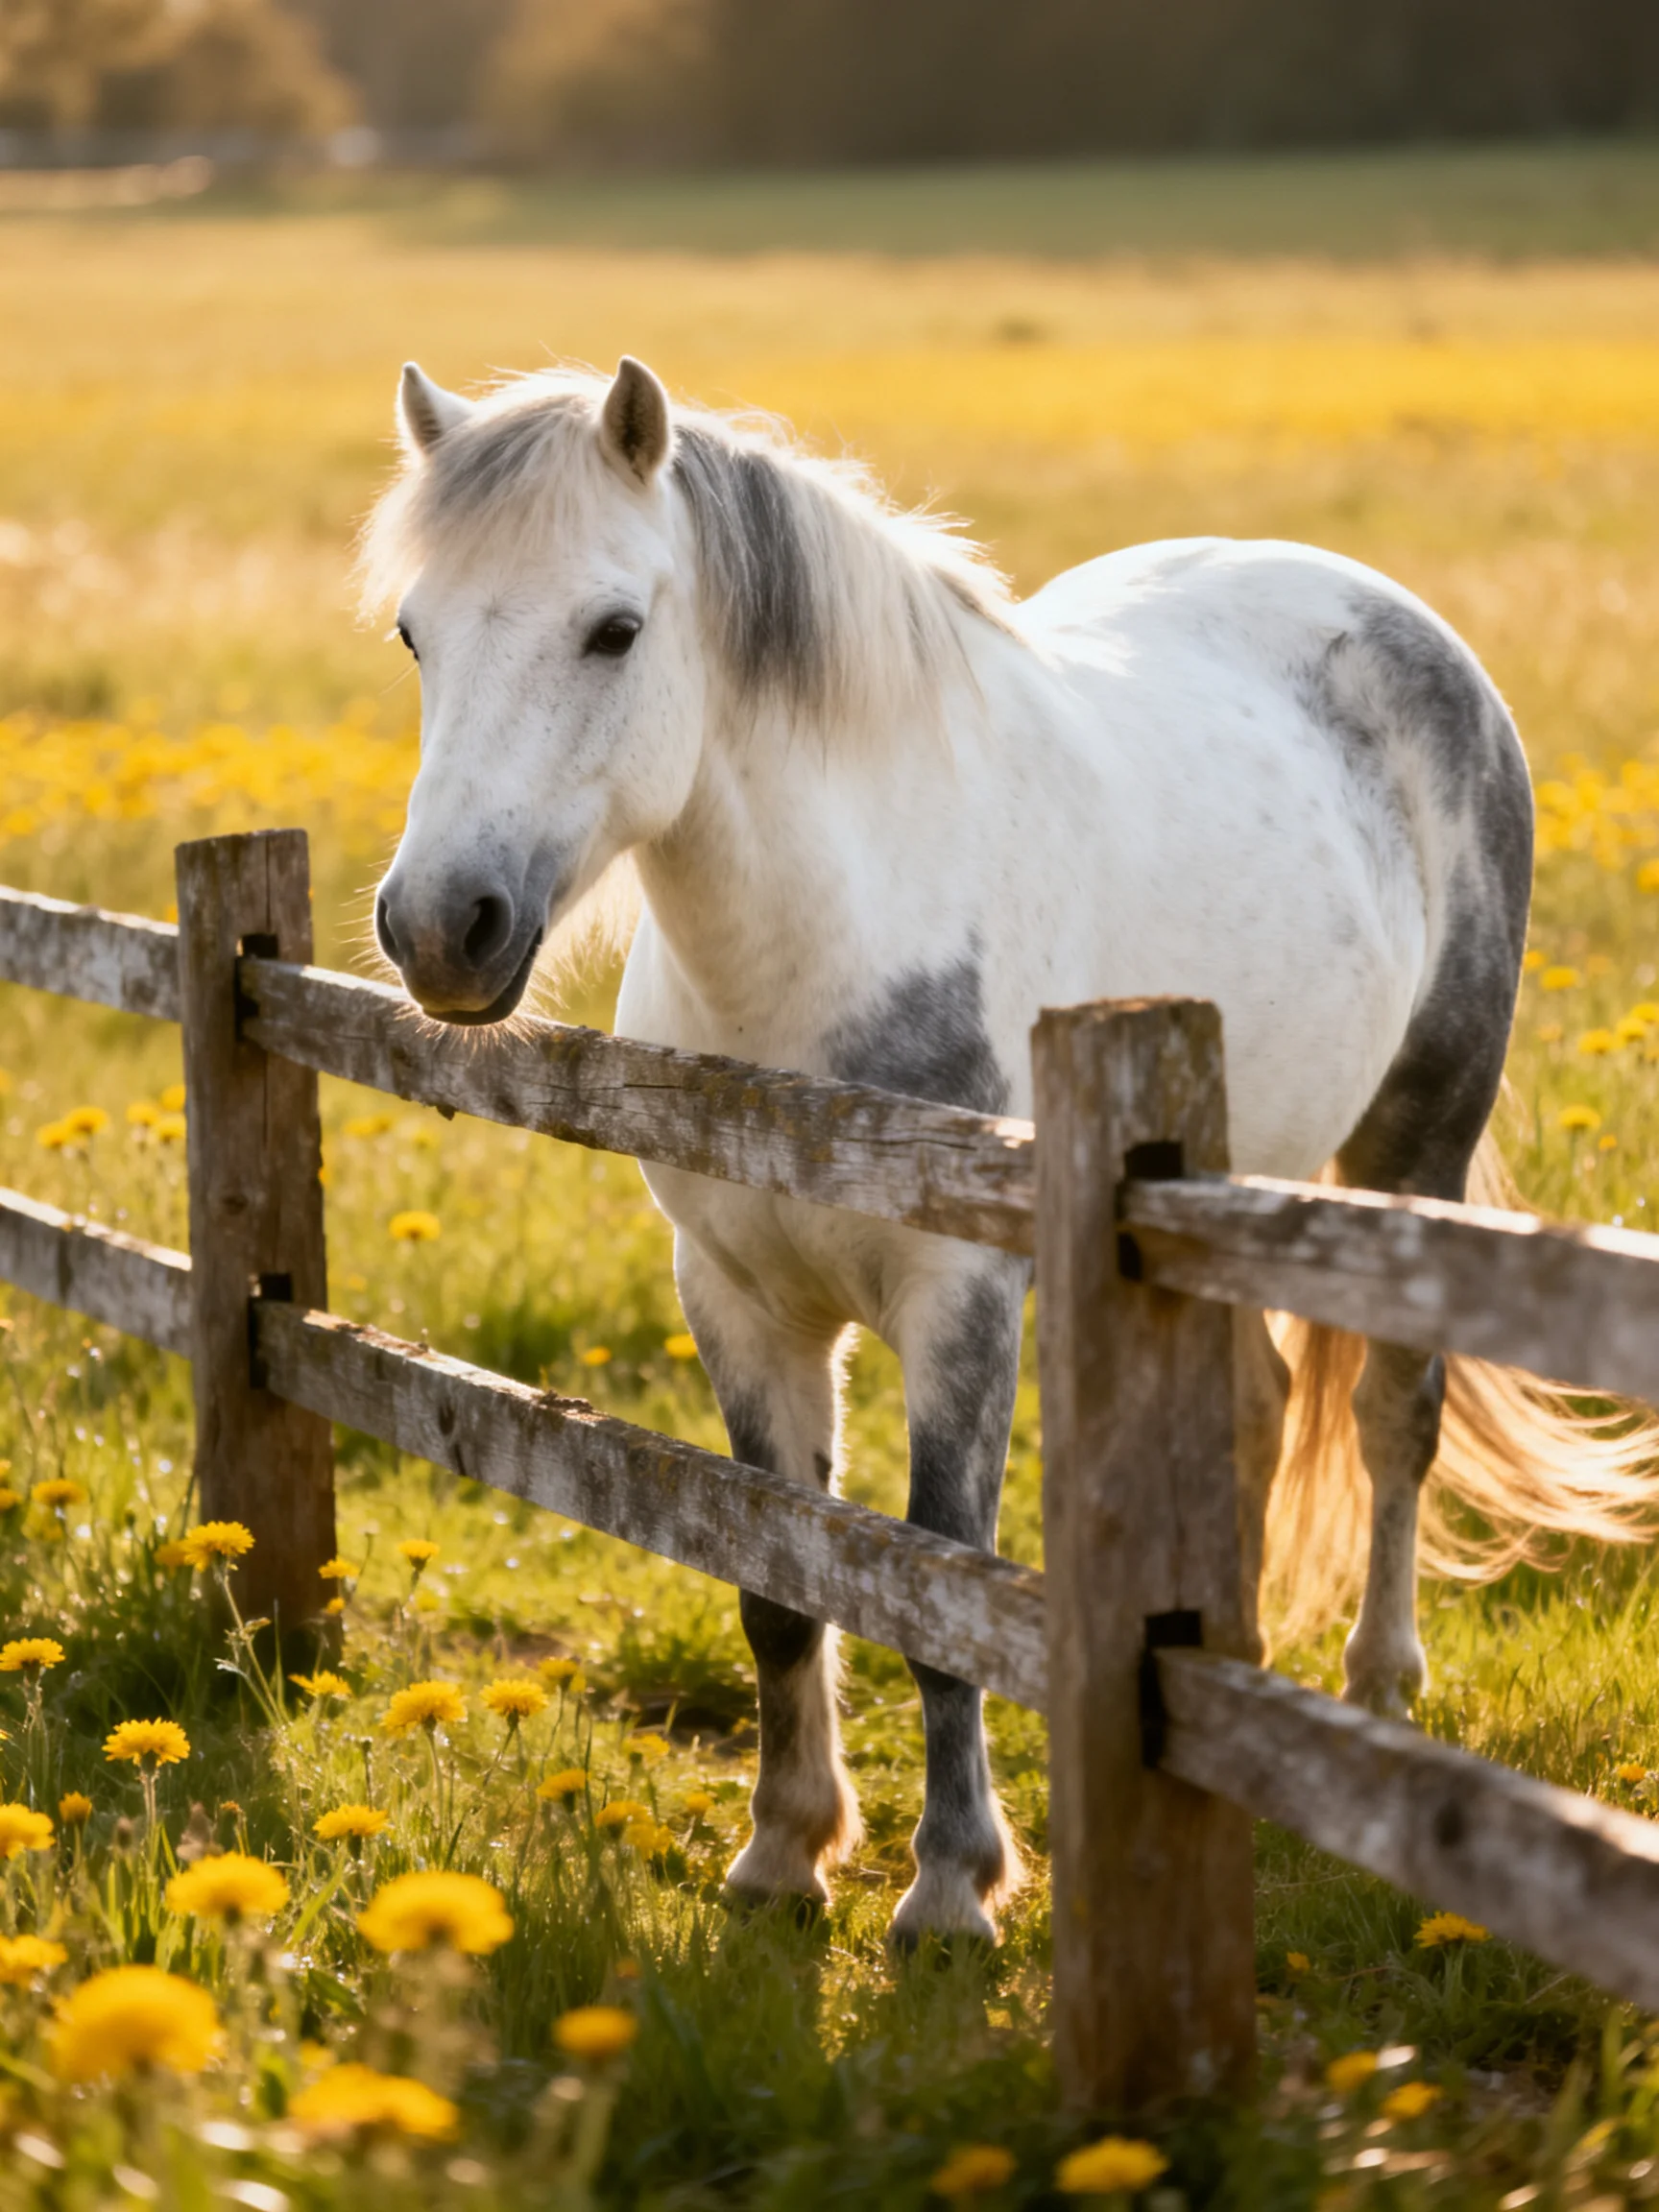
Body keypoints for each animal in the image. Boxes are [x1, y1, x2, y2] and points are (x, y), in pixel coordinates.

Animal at [362, 353, 1657, 1949]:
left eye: (614, 630)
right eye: (415, 632)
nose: (440, 928)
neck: (823, 956)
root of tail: (1396, 619)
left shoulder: (961, 1301)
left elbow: (945, 1584)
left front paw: (949, 1887)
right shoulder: (735, 1296)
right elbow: (777, 1583)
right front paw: (784, 1854)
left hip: (1415, 1139)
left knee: (1390, 1421)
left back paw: (1374, 1695)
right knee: (1257, 1402)